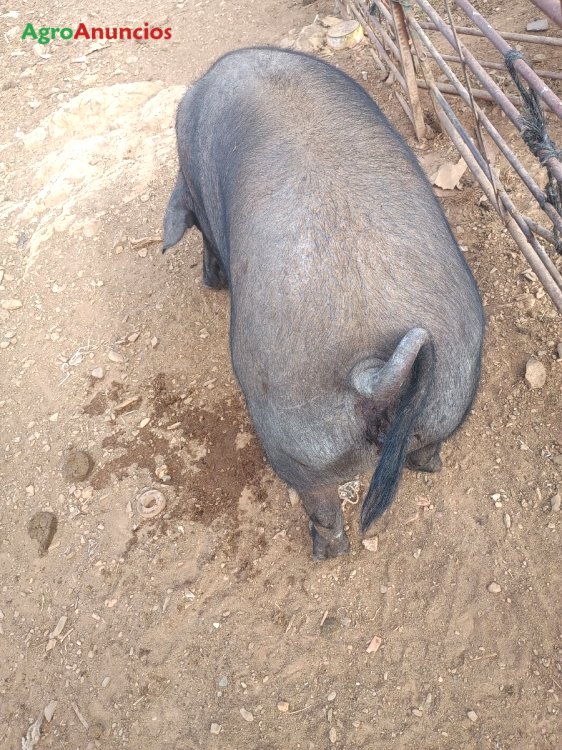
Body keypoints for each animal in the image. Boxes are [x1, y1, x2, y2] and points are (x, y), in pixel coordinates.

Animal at [162, 47, 484, 559]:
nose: (208, 282)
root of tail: (372, 373)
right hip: (455, 385)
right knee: (428, 451)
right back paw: (426, 466)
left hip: (292, 433)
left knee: (322, 507)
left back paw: (322, 553)